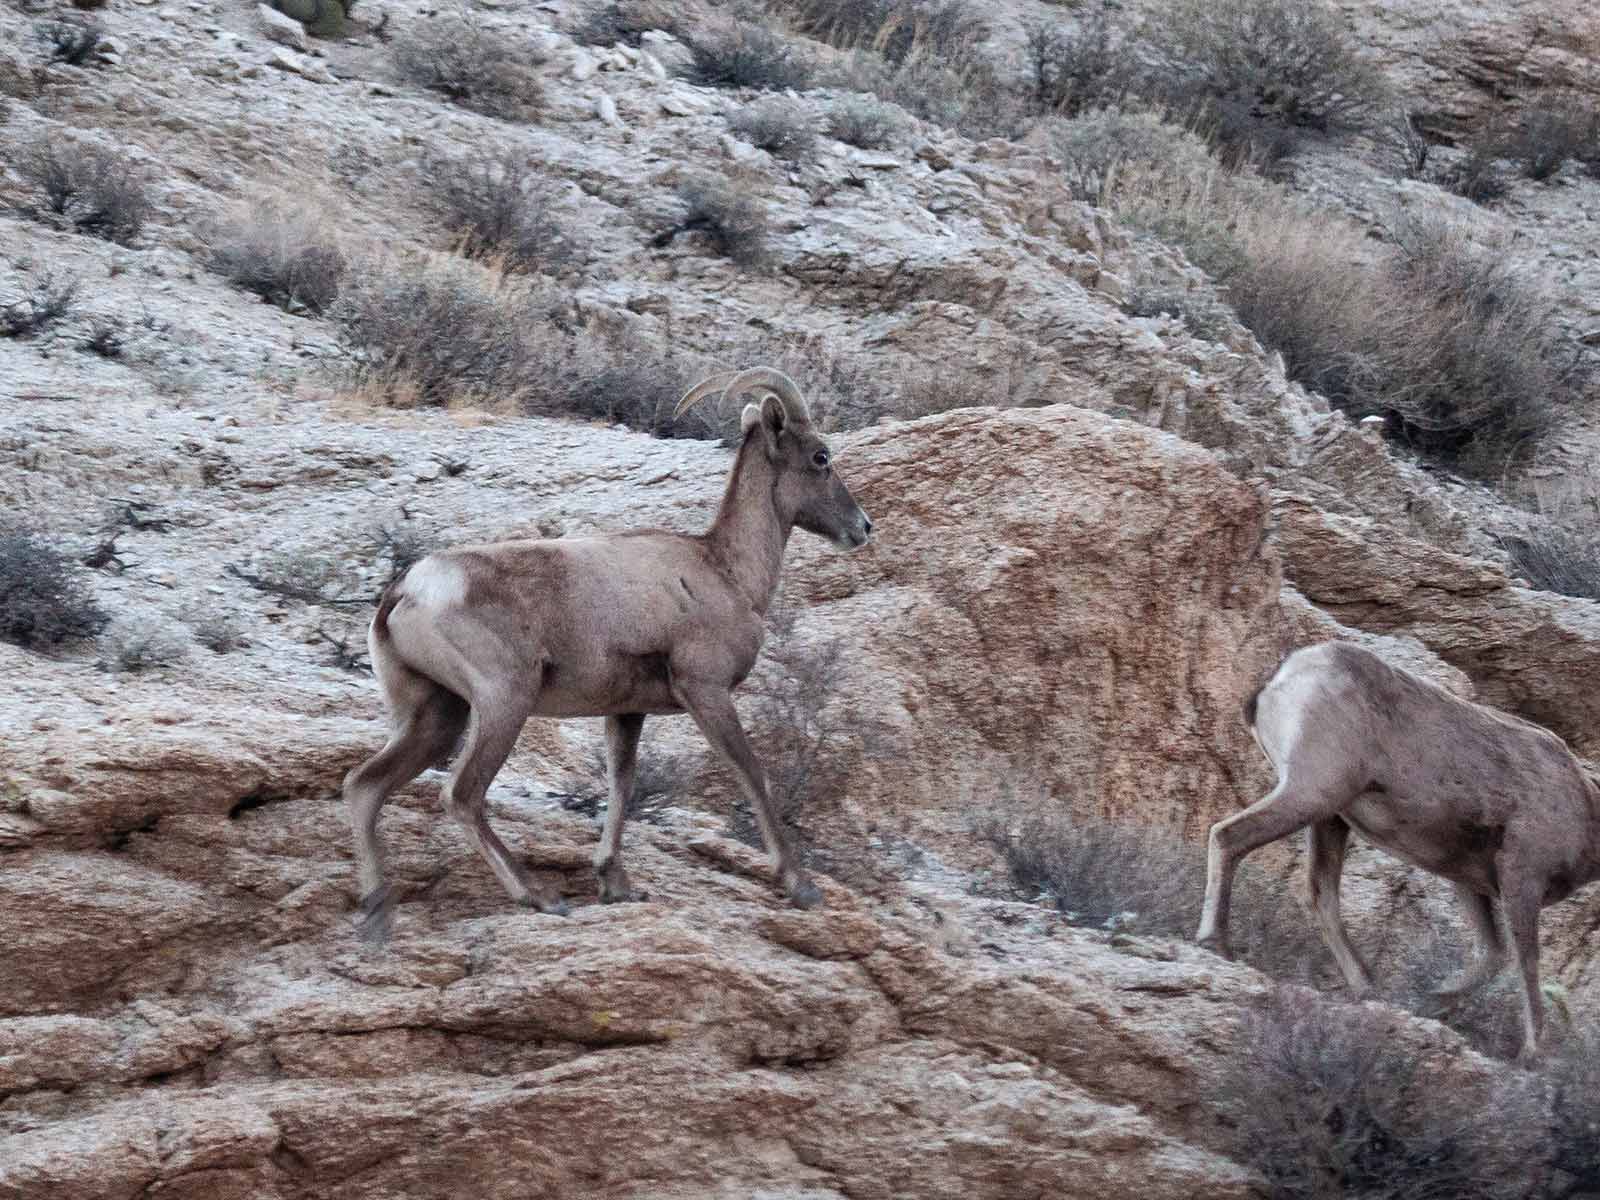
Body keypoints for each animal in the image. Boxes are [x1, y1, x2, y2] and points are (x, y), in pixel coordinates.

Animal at [343, 366, 873, 939]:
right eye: (820, 456)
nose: (863, 527)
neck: (726, 571)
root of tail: (407, 590)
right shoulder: (705, 692)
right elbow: (753, 773)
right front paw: (800, 885)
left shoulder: (626, 713)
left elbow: (622, 786)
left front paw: (616, 884)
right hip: (503, 703)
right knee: (461, 794)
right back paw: (539, 897)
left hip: (437, 715)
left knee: (365, 786)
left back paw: (377, 914)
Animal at [1197, 640, 1600, 1059]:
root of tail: (1285, 673)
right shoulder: (1521, 881)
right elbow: (1526, 964)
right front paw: (1532, 1055)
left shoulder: (1467, 880)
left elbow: (1492, 954)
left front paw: (1435, 999)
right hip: (1312, 795)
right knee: (1229, 837)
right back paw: (1217, 944)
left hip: (1331, 818)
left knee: (1321, 895)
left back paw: (1367, 988)